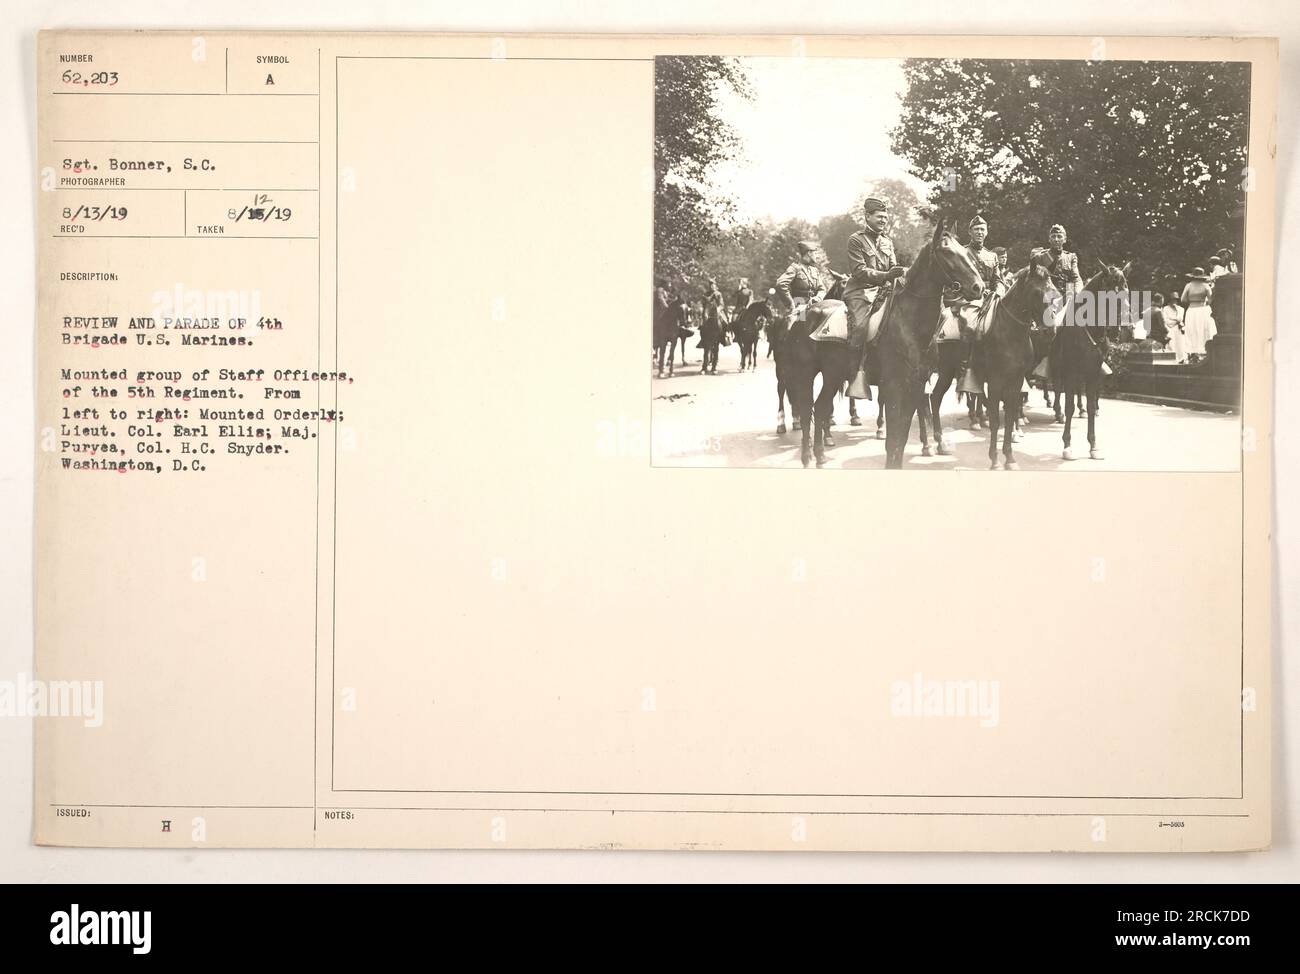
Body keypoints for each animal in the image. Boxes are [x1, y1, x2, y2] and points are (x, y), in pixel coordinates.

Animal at [878, 224, 977, 475]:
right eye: (947, 252)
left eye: (965, 250)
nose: (978, 286)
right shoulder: (893, 385)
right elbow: (894, 436)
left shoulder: (916, 382)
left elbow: (901, 436)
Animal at [972, 262, 1060, 468]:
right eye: (1036, 292)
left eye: (1054, 291)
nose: (1050, 331)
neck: (1010, 333)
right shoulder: (996, 382)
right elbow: (996, 420)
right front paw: (995, 459)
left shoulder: (1016, 380)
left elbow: (1011, 416)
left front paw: (1010, 458)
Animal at [1050, 258, 1133, 455]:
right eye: (1110, 293)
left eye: (1126, 291)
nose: (1122, 329)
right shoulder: (1071, 370)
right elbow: (1069, 405)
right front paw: (1067, 444)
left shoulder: (1092, 372)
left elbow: (1090, 404)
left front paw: (1093, 445)